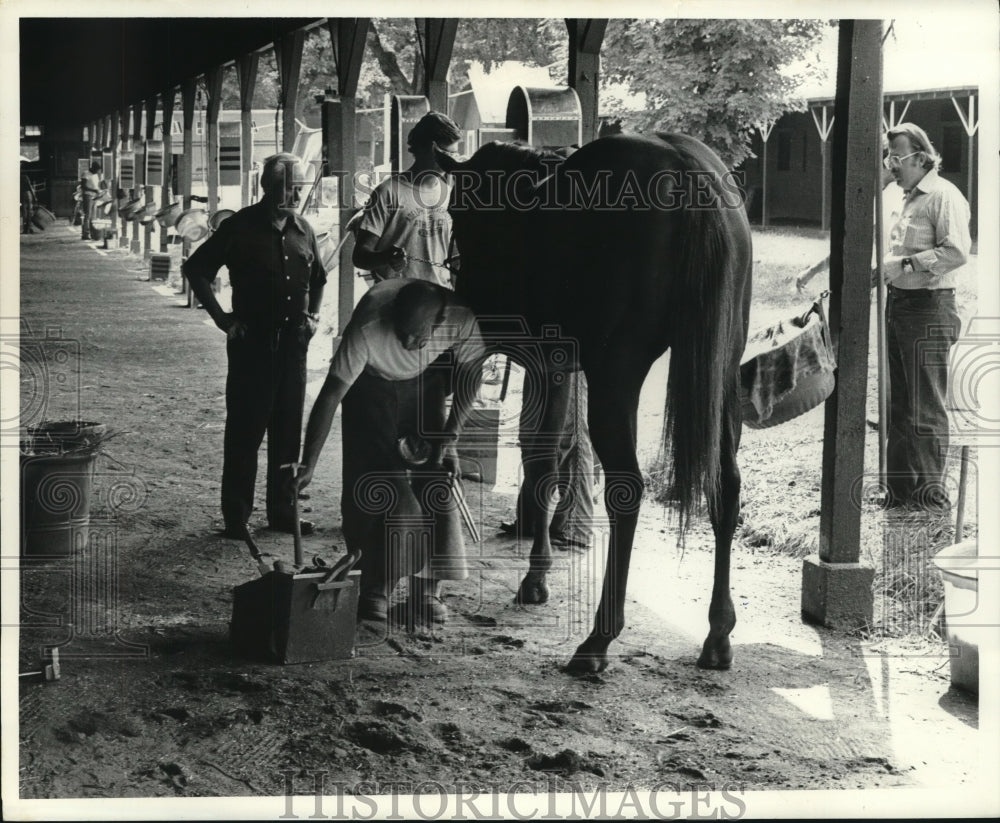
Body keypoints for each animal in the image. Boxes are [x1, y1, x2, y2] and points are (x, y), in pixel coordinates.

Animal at [436, 135, 752, 672]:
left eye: (460, 207)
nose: (463, 278)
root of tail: (688, 168)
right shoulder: (557, 362)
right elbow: (545, 460)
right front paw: (537, 575)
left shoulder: (520, 351)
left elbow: (540, 458)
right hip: (722, 371)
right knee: (725, 483)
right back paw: (718, 633)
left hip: (616, 375)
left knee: (628, 488)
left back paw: (598, 639)